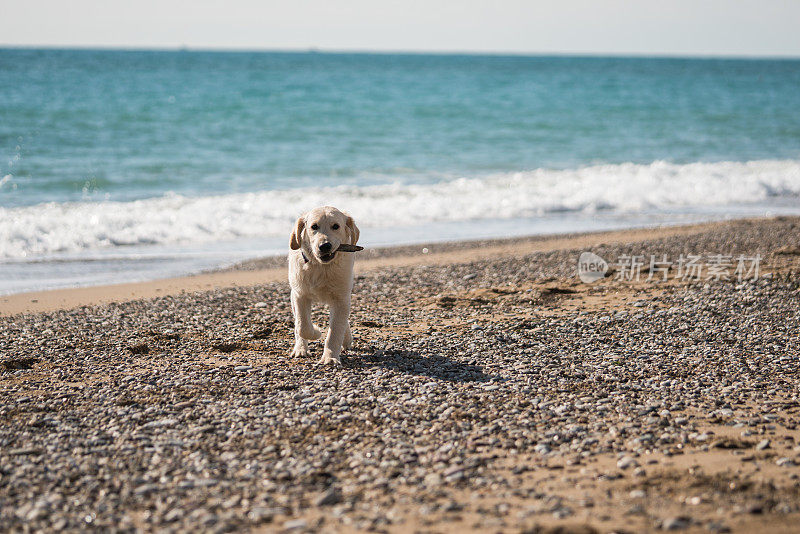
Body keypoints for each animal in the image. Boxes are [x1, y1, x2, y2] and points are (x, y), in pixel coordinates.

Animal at [288, 207, 360, 366]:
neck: (321, 267)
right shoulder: (299, 294)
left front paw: (330, 357)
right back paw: (300, 349)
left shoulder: (341, 298)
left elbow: (335, 330)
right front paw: (316, 332)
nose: (324, 246)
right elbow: (302, 326)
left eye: (336, 226)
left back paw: (346, 338)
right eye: (314, 226)